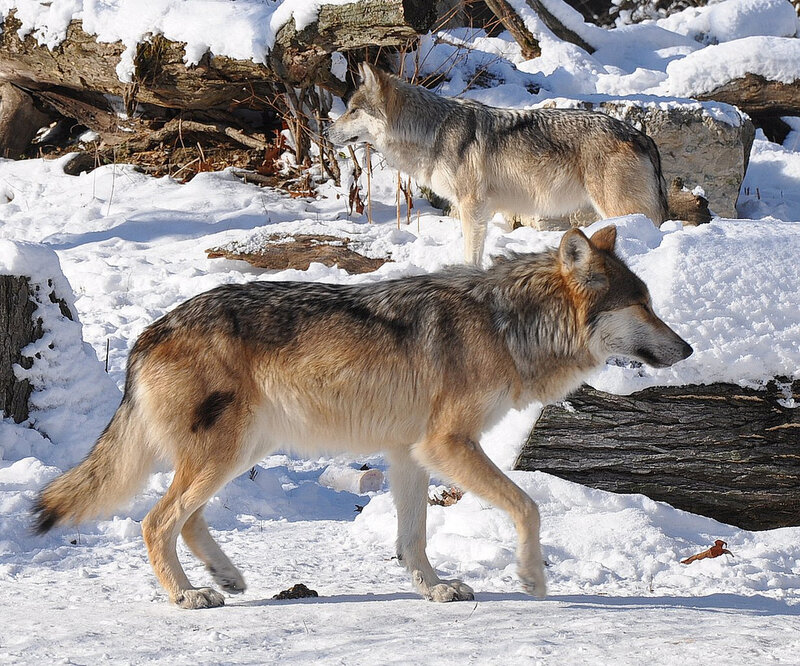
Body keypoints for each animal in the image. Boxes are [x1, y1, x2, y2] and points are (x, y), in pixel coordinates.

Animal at [34, 225, 691, 609]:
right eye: (642, 306)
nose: (686, 349)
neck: (507, 326)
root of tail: (150, 331)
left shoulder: (409, 454)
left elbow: (413, 538)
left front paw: (435, 589)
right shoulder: (447, 445)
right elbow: (528, 506)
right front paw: (532, 579)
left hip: (241, 451)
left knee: (185, 520)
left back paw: (226, 580)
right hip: (225, 453)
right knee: (155, 522)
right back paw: (187, 596)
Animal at [327, 63, 669, 264]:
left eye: (354, 110)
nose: (327, 131)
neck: (432, 131)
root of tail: (641, 136)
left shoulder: (472, 207)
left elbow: (470, 257)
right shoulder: (481, 211)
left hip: (619, 209)